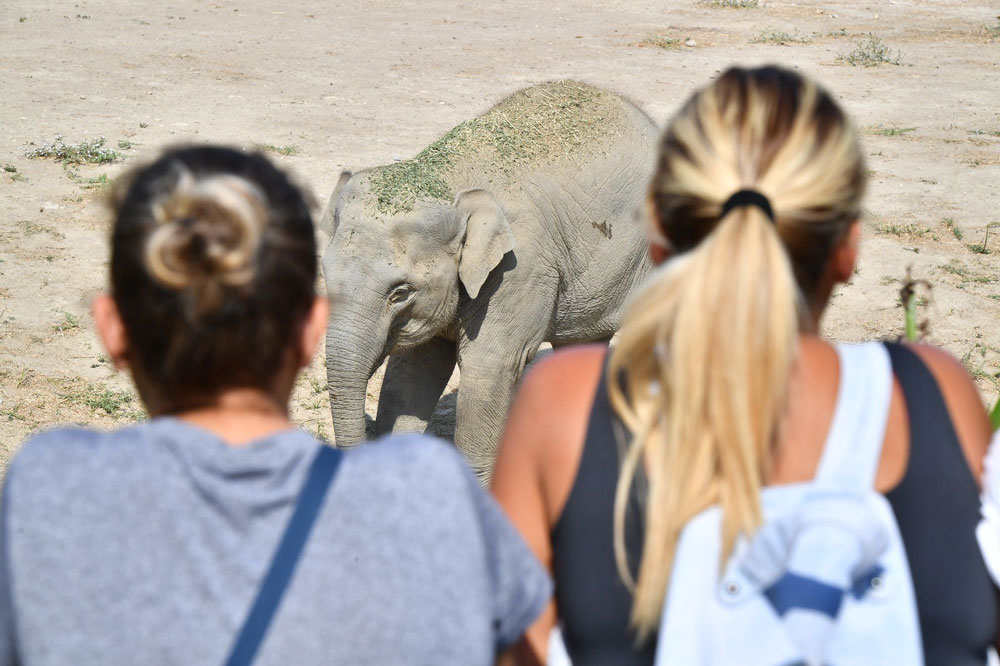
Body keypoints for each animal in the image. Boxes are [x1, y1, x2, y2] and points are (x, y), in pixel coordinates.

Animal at [320, 81, 660, 478]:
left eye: (400, 292)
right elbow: (411, 373)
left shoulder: (519, 271)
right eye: (324, 274)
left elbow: (488, 370)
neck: (449, 178)